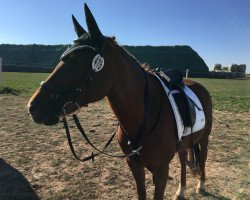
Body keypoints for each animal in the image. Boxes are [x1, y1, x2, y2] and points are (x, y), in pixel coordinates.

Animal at [27, 3, 211, 199]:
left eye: (76, 61)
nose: (33, 107)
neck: (146, 114)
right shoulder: (134, 165)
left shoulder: (161, 170)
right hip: (184, 143)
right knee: (183, 158)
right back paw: (181, 190)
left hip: (204, 137)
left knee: (203, 158)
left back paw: (201, 185)